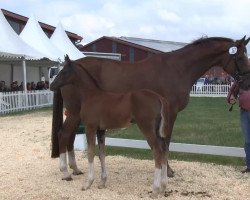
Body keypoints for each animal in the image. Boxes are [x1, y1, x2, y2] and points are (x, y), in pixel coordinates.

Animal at [50, 35, 250, 182]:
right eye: (240, 57)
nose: (246, 81)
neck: (178, 69)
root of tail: (64, 69)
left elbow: (162, 143)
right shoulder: (170, 113)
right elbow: (165, 142)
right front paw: (168, 171)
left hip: (78, 115)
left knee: (69, 138)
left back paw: (75, 169)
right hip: (75, 113)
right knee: (64, 135)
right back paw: (65, 172)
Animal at [51, 56, 172, 197]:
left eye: (64, 72)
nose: (51, 85)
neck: (91, 95)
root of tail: (159, 98)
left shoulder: (90, 127)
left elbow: (91, 153)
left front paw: (88, 183)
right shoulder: (101, 130)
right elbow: (102, 154)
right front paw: (102, 182)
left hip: (147, 129)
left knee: (157, 151)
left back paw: (155, 189)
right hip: (157, 131)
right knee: (164, 149)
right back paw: (163, 186)